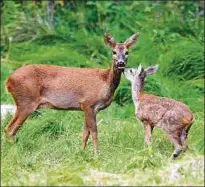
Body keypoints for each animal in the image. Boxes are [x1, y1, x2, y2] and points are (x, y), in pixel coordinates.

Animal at [4, 32, 139, 153]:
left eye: (127, 52)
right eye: (114, 52)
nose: (121, 63)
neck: (105, 81)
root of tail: (8, 80)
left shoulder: (87, 107)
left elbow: (85, 133)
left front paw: (81, 153)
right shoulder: (89, 103)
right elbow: (94, 132)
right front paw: (97, 154)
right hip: (26, 101)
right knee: (9, 129)